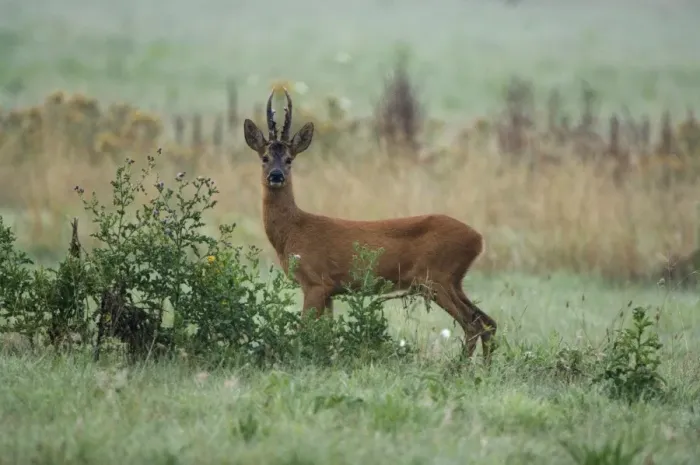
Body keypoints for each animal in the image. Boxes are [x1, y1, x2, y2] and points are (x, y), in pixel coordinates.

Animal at [242, 89, 498, 361]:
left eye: (289, 159)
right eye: (265, 157)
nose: (276, 175)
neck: (293, 231)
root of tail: (479, 240)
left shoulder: (315, 282)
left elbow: (305, 330)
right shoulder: (330, 290)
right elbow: (325, 332)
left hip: (436, 277)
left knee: (473, 323)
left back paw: (457, 366)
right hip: (452, 280)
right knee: (488, 322)